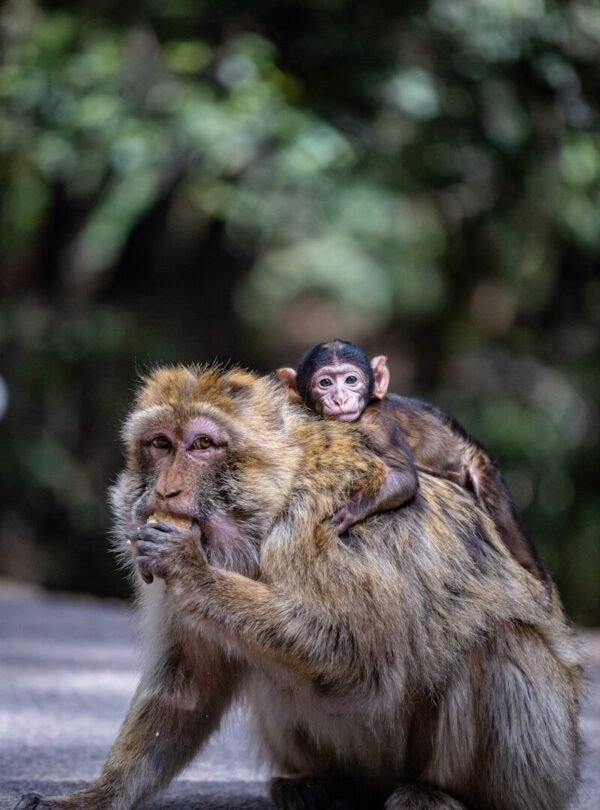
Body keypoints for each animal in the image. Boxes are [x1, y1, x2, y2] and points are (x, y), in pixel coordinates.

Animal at [277, 339, 550, 592]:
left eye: (351, 380)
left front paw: (349, 512)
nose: (340, 398)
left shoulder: (379, 427)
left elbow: (404, 478)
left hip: (483, 470)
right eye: (325, 383)